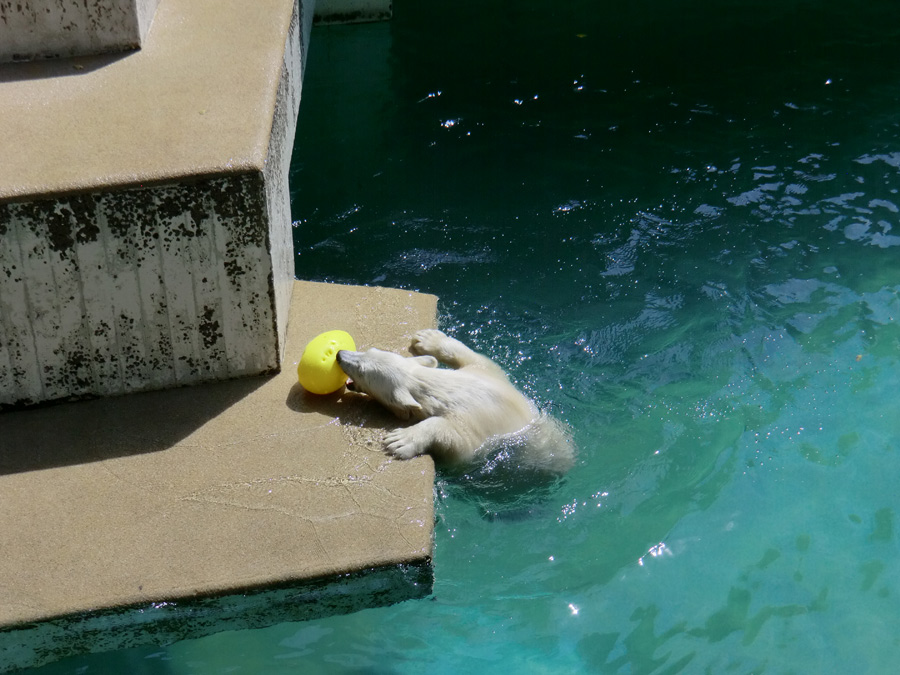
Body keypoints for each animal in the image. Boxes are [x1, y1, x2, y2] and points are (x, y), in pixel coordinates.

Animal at [334, 330, 572, 472]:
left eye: (362, 371)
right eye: (368, 350)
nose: (339, 354)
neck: (457, 389)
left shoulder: (475, 427)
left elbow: (457, 442)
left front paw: (401, 440)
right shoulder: (489, 375)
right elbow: (477, 358)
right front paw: (427, 338)